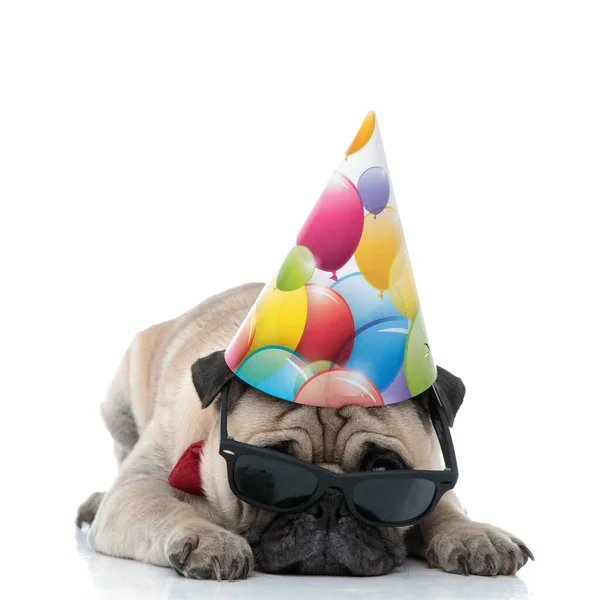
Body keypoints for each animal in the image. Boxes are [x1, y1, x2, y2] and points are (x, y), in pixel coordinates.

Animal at [77, 284, 532, 580]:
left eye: (385, 475)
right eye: (270, 474)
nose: (330, 504)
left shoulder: (429, 481)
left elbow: (446, 508)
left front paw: (475, 535)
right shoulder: (138, 488)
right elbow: (167, 507)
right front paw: (208, 537)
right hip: (119, 406)